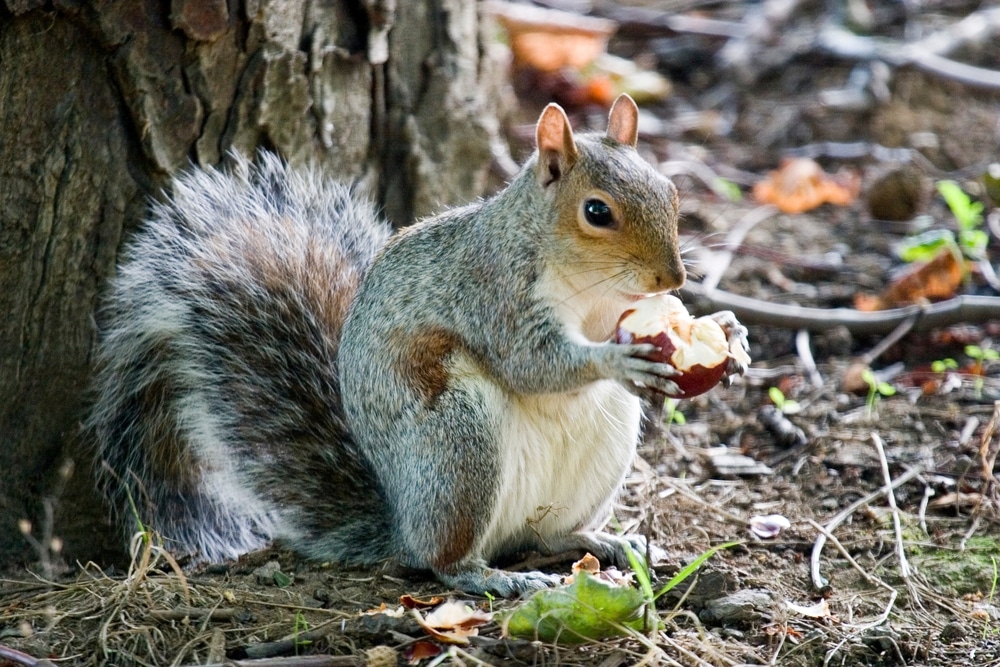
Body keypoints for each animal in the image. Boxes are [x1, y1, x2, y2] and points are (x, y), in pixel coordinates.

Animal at [86, 94, 745, 596]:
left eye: (671, 193)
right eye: (597, 212)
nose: (672, 279)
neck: (589, 288)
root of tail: (403, 521)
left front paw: (728, 331)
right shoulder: (492, 292)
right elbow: (531, 363)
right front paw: (615, 357)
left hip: (597, 453)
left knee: (544, 535)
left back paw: (598, 538)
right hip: (458, 446)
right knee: (444, 560)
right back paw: (492, 577)